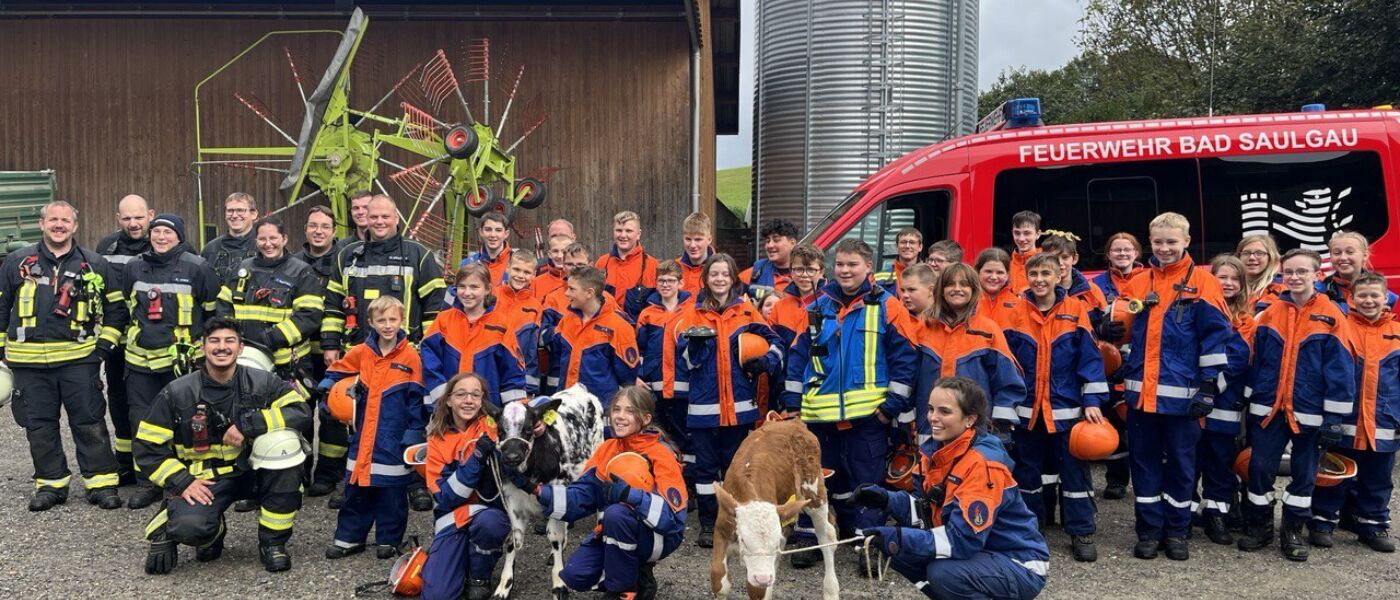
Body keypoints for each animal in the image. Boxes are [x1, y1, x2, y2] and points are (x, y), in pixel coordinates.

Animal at [492, 383, 602, 598]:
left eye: (529, 428)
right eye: (500, 430)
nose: (512, 457)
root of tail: (579, 388)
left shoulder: (555, 492)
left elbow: (554, 537)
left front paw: (559, 584)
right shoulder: (513, 500)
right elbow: (512, 539)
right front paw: (504, 586)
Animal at [705, 416, 834, 598]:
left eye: (773, 545)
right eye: (744, 540)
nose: (763, 578)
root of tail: (794, 422)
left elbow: (757, 590)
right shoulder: (722, 527)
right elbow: (719, 580)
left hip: (814, 491)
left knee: (826, 536)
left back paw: (831, 591)